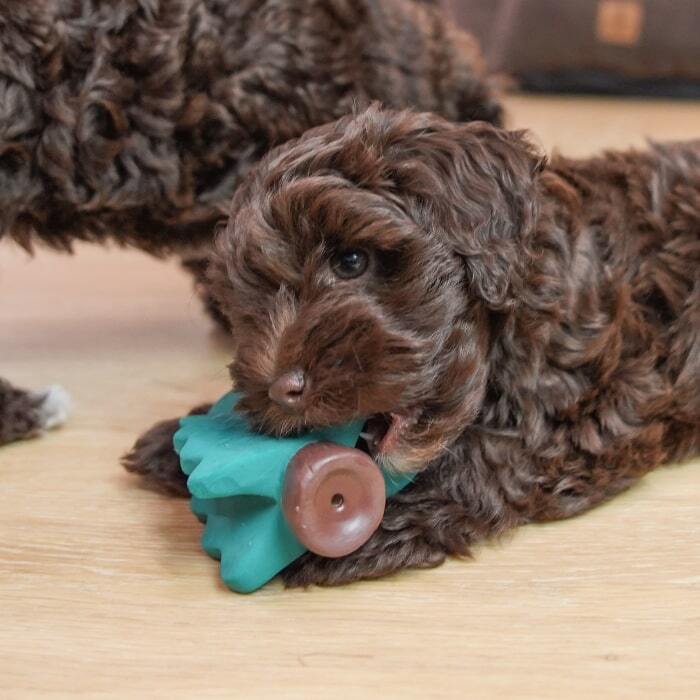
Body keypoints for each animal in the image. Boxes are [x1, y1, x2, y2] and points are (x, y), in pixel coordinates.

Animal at [124, 105, 700, 587]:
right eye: (245, 306)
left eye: (351, 261)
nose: (280, 389)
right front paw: (176, 440)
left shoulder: (594, 407)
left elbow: (482, 458)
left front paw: (355, 530)